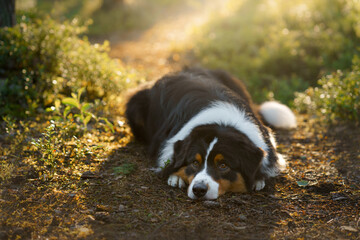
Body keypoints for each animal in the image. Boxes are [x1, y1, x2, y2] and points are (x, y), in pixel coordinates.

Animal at [125, 67, 296, 199]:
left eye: (223, 165)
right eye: (195, 162)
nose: (199, 190)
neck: (221, 122)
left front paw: (258, 179)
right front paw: (176, 177)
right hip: (135, 104)